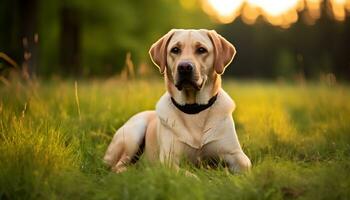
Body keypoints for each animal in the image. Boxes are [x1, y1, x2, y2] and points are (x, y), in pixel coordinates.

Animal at [104, 28, 252, 173]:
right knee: (118, 165)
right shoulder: (169, 159)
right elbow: (187, 174)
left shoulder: (235, 153)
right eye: (175, 49)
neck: (193, 108)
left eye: (201, 50)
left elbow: (246, 167)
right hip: (134, 133)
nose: (184, 67)